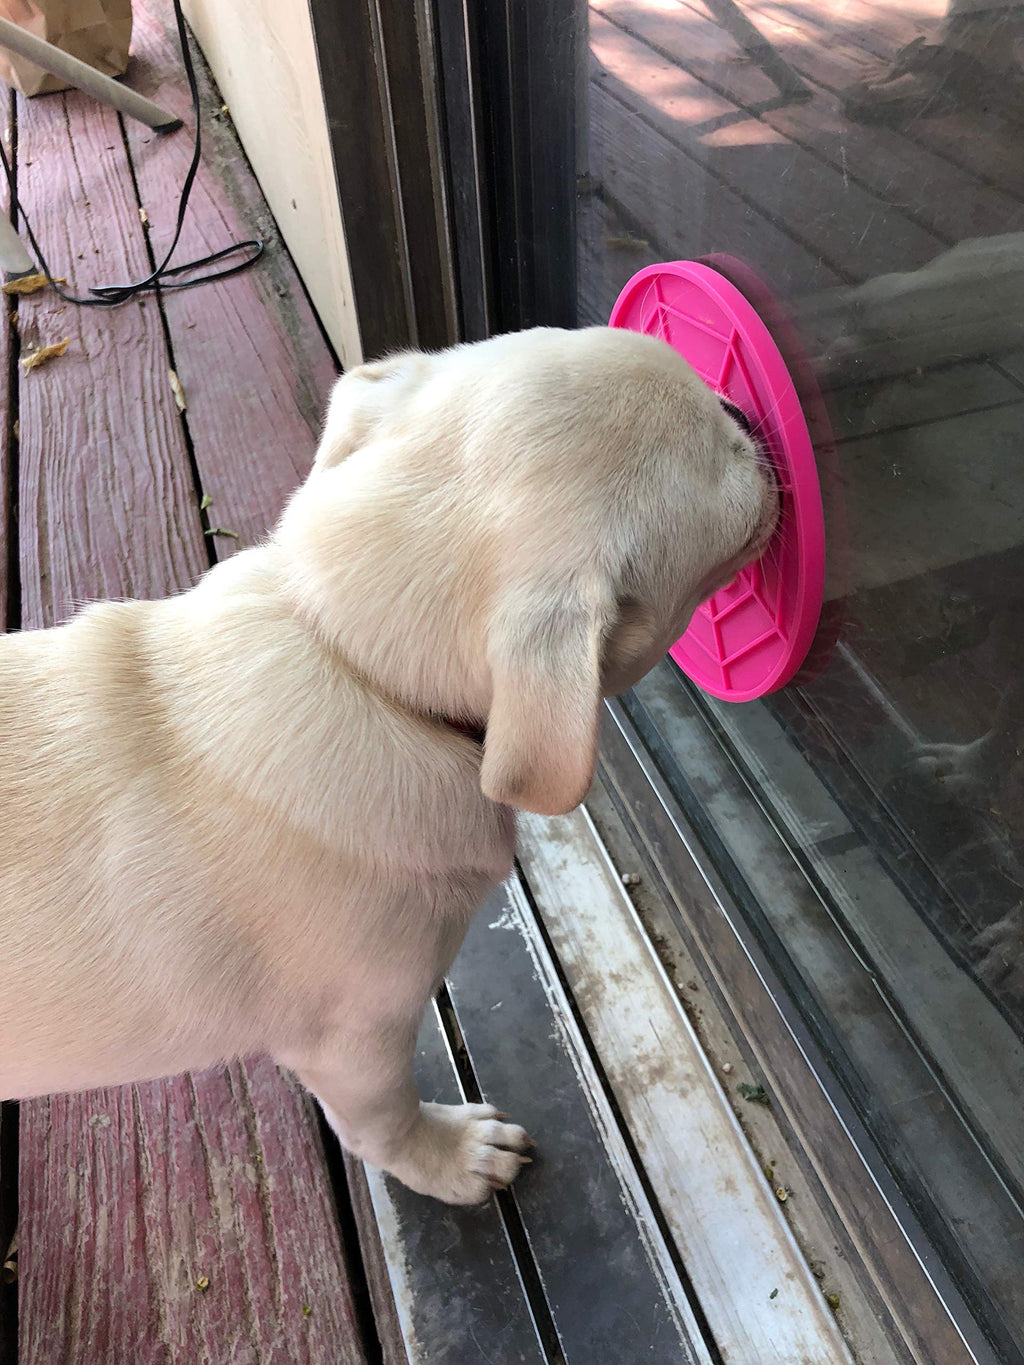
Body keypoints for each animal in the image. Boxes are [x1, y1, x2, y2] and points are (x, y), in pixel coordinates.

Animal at [0, 324, 775, 1201]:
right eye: (731, 459)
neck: (347, 656)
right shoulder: (355, 1038)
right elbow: (384, 1121)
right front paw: (453, 1156)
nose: (743, 409)